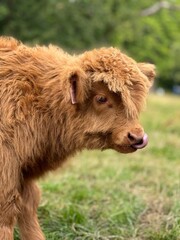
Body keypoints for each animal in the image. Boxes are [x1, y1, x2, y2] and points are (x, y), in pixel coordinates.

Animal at [0, 37, 155, 240]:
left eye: (135, 101)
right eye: (101, 98)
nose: (137, 136)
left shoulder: (24, 171)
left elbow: (28, 205)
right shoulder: (7, 169)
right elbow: (7, 212)